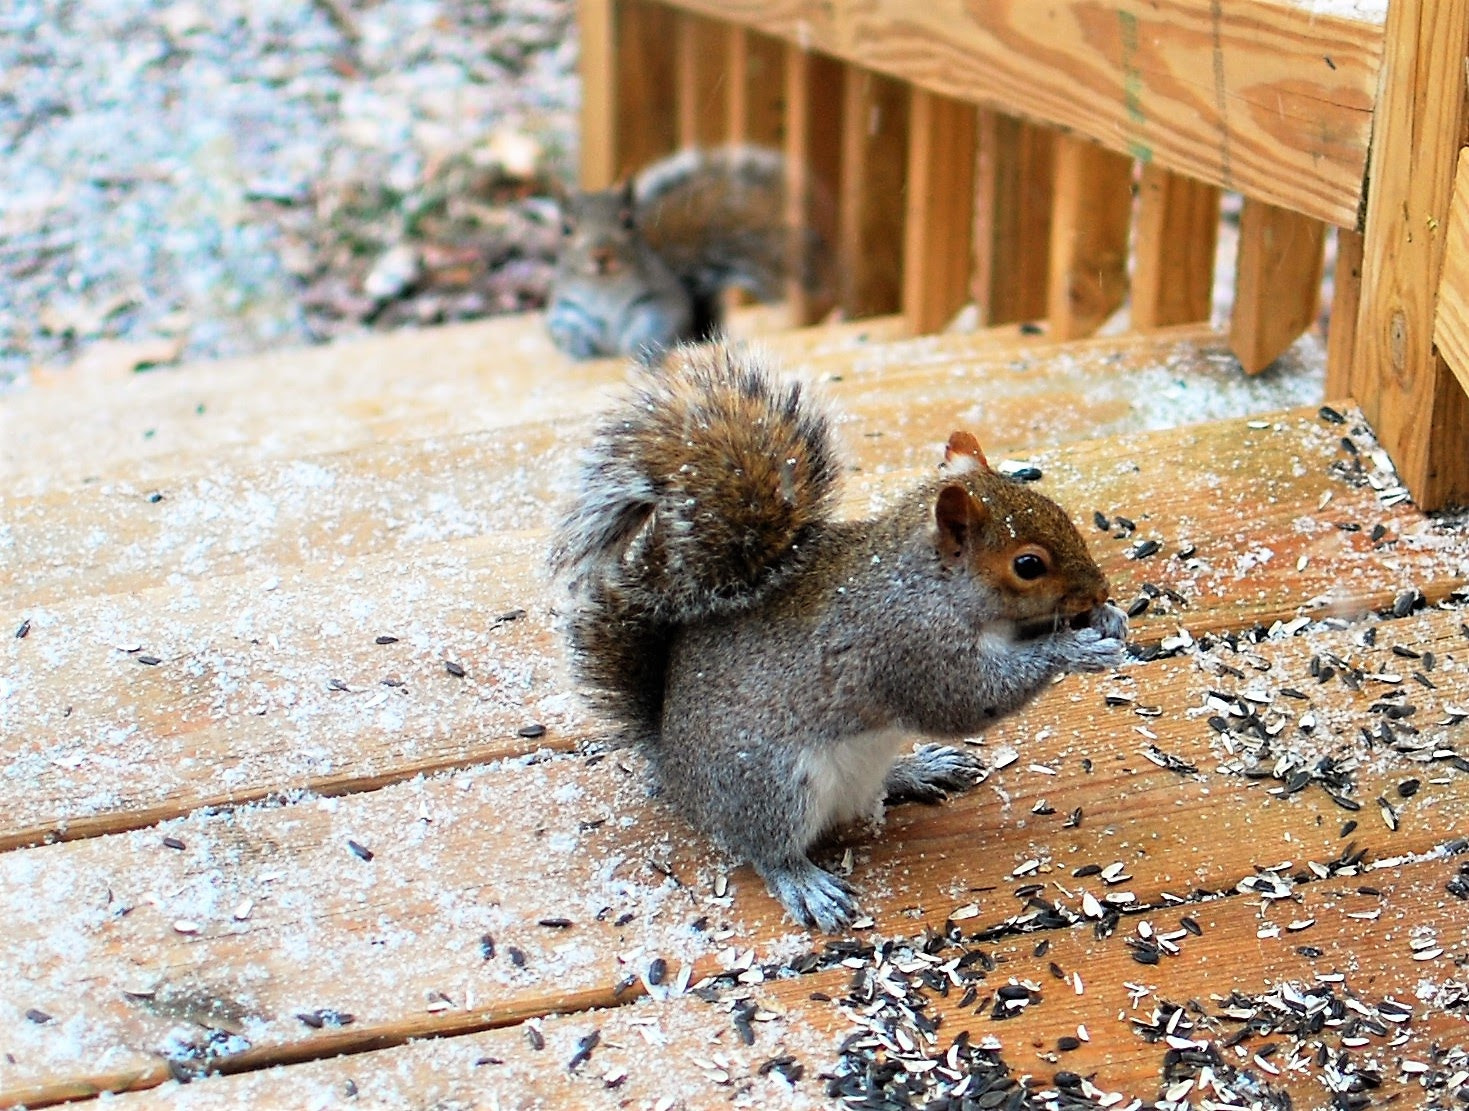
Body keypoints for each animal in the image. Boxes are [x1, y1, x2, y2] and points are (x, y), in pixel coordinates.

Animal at [546, 145, 834, 362]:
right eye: (566, 229)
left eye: (628, 222)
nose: (601, 255)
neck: (605, 287)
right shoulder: (568, 310)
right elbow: (563, 331)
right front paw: (579, 348)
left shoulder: (658, 301)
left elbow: (656, 325)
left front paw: (639, 348)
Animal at [552, 342, 1122, 934]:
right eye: (1028, 565)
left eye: (1058, 511)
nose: (1101, 587)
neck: (929, 582)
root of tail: (673, 769)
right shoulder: (909, 647)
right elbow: (967, 700)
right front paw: (1072, 648)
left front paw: (1107, 619)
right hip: (771, 787)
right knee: (765, 848)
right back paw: (805, 884)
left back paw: (919, 769)